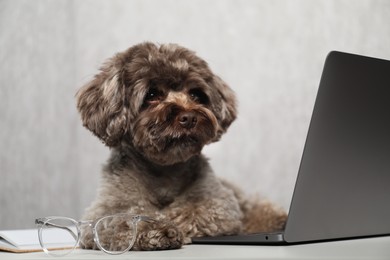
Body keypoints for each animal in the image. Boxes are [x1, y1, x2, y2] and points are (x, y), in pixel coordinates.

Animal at [75, 41, 286, 251]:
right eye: (152, 94)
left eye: (195, 94)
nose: (189, 117)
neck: (164, 172)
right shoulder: (105, 210)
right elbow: (126, 217)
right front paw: (157, 228)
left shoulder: (218, 203)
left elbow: (191, 211)